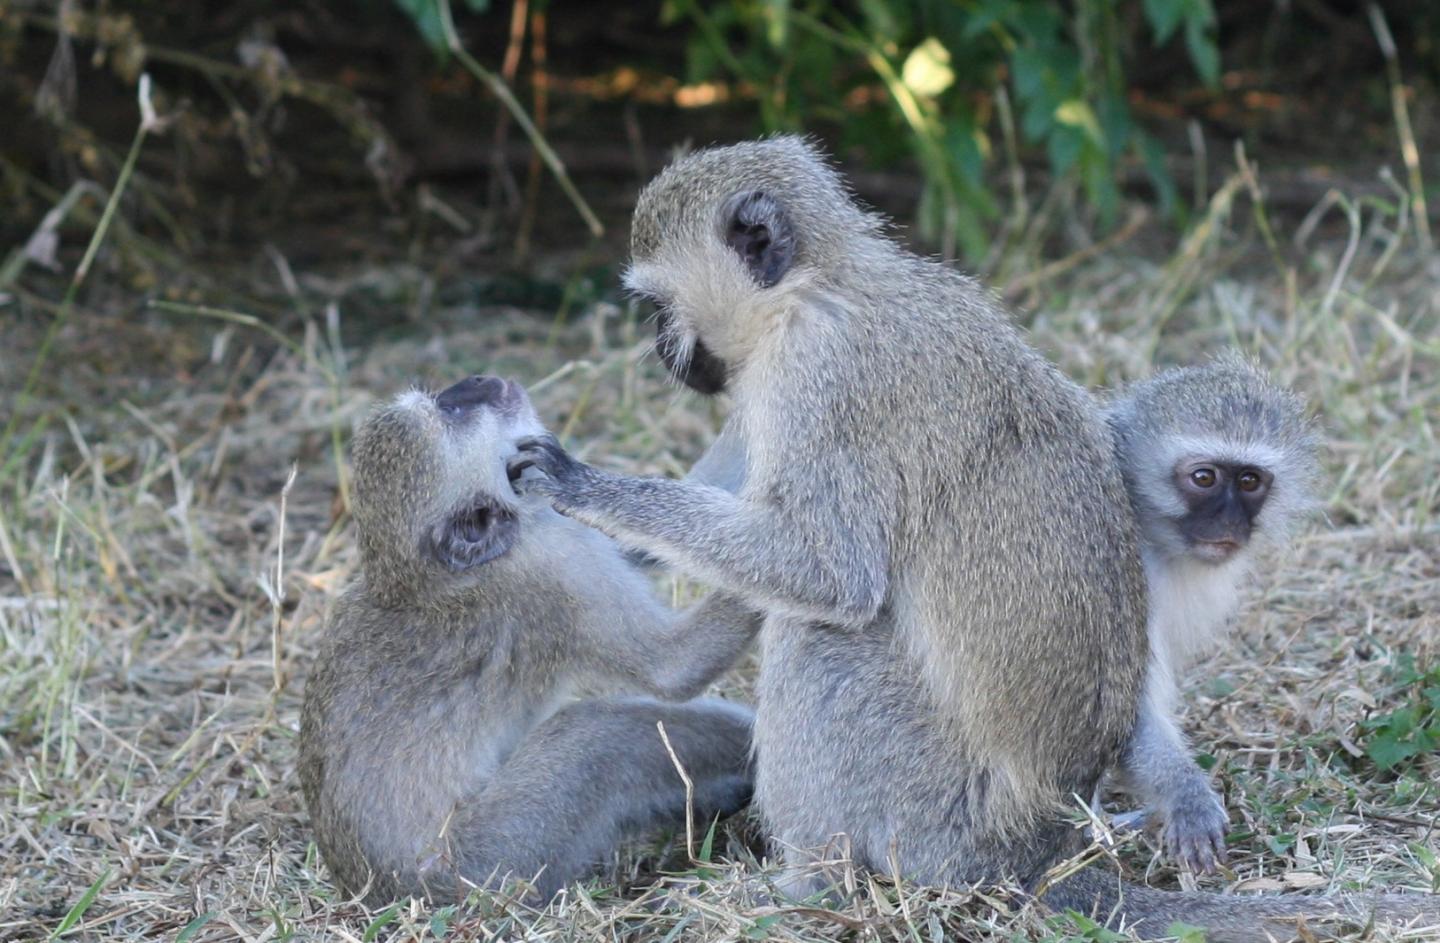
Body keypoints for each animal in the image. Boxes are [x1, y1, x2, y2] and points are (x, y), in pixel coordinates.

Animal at [298, 371, 760, 904]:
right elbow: (672, 667)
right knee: (600, 734)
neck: (428, 579)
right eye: (453, 412)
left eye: (444, 399)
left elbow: (636, 541)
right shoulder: (556, 573)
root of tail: (381, 892)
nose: (480, 379)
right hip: (493, 860)